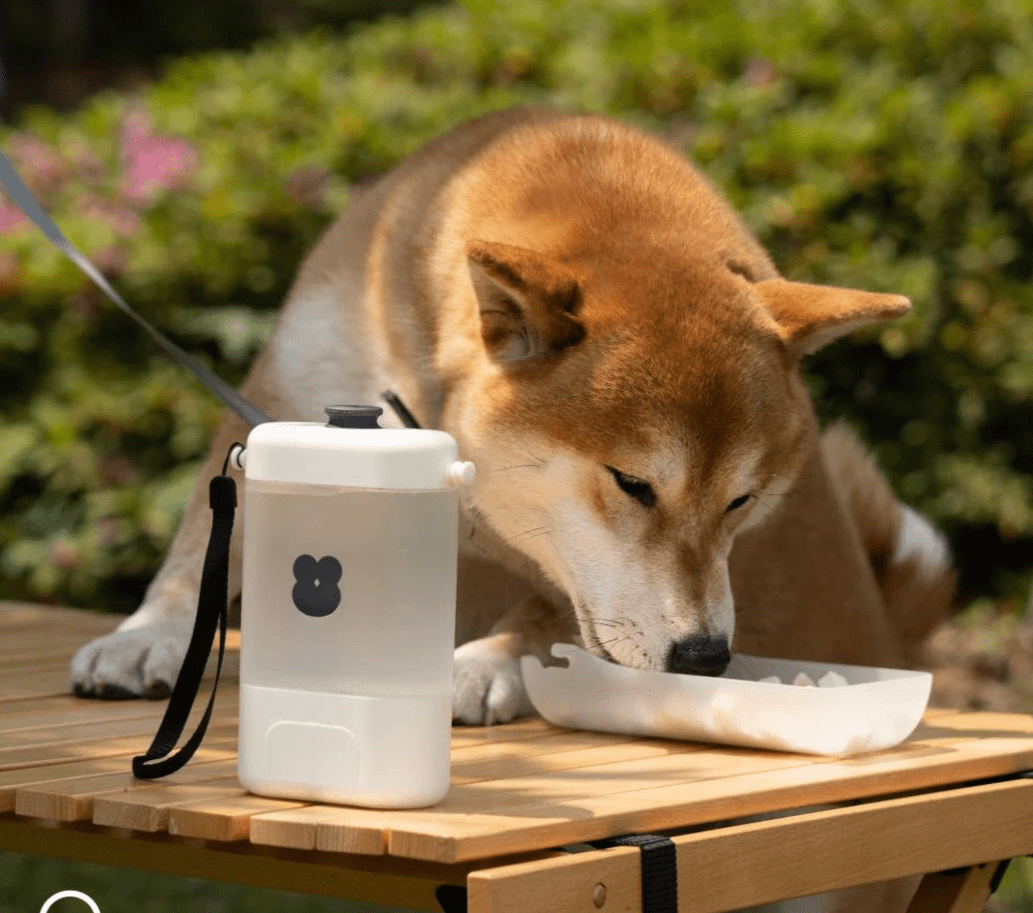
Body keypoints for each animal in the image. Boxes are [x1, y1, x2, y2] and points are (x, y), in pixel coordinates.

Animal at [68, 106, 950, 735]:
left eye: (743, 500)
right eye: (633, 484)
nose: (703, 657)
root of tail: (892, 631)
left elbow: (556, 608)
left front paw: (488, 661)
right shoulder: (283, 403)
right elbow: (196, 549)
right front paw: (146, 634)